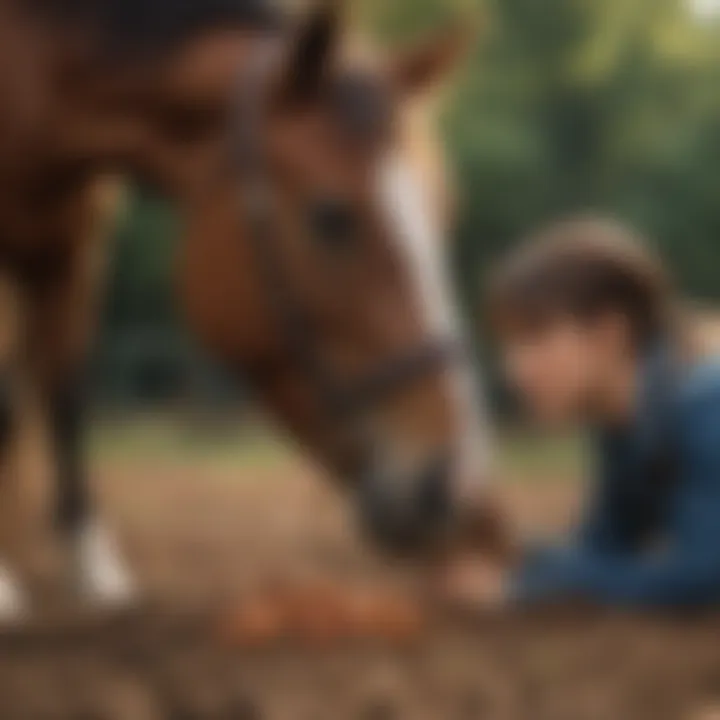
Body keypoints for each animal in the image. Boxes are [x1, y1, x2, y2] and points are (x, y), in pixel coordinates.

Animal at [0, 1, 496, 620]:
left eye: (446, 211)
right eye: (330, 217)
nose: (453, 484)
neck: (31, 77)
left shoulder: (74, 255)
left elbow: (64, 398)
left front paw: (93, 570)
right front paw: (5, 584)